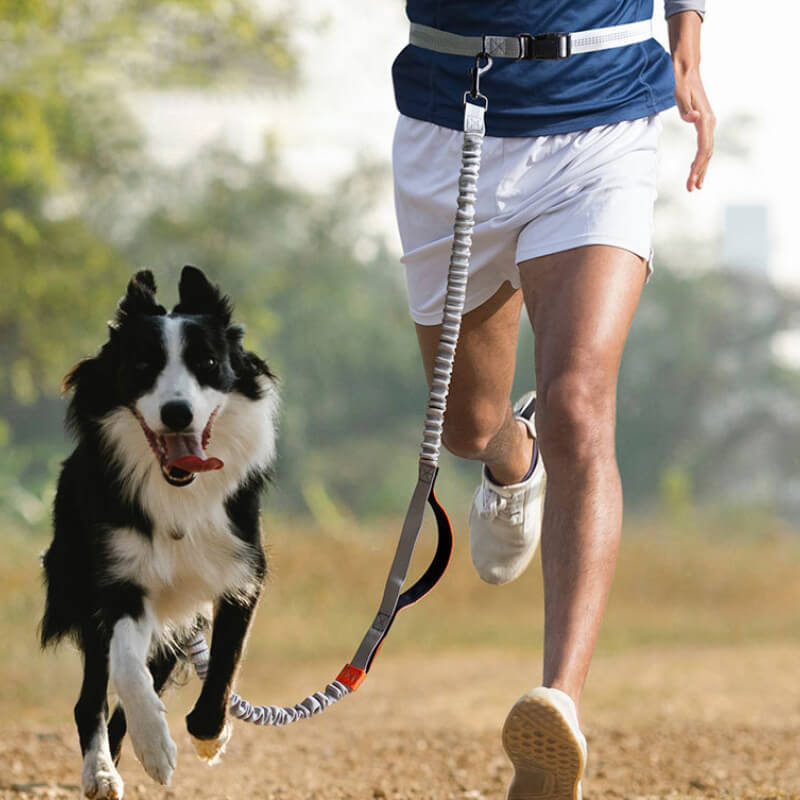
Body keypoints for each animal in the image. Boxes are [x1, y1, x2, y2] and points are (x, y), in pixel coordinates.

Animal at [40, 268, 278, 800]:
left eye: (207, 363)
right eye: (143, 365)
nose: (177, 413)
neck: (177, 494)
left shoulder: (241, 571)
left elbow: (225, 662)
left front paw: (210, 735)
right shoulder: (121, 579)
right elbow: (128, 668)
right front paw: (154, 745)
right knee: (92, 695)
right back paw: (101, 771)